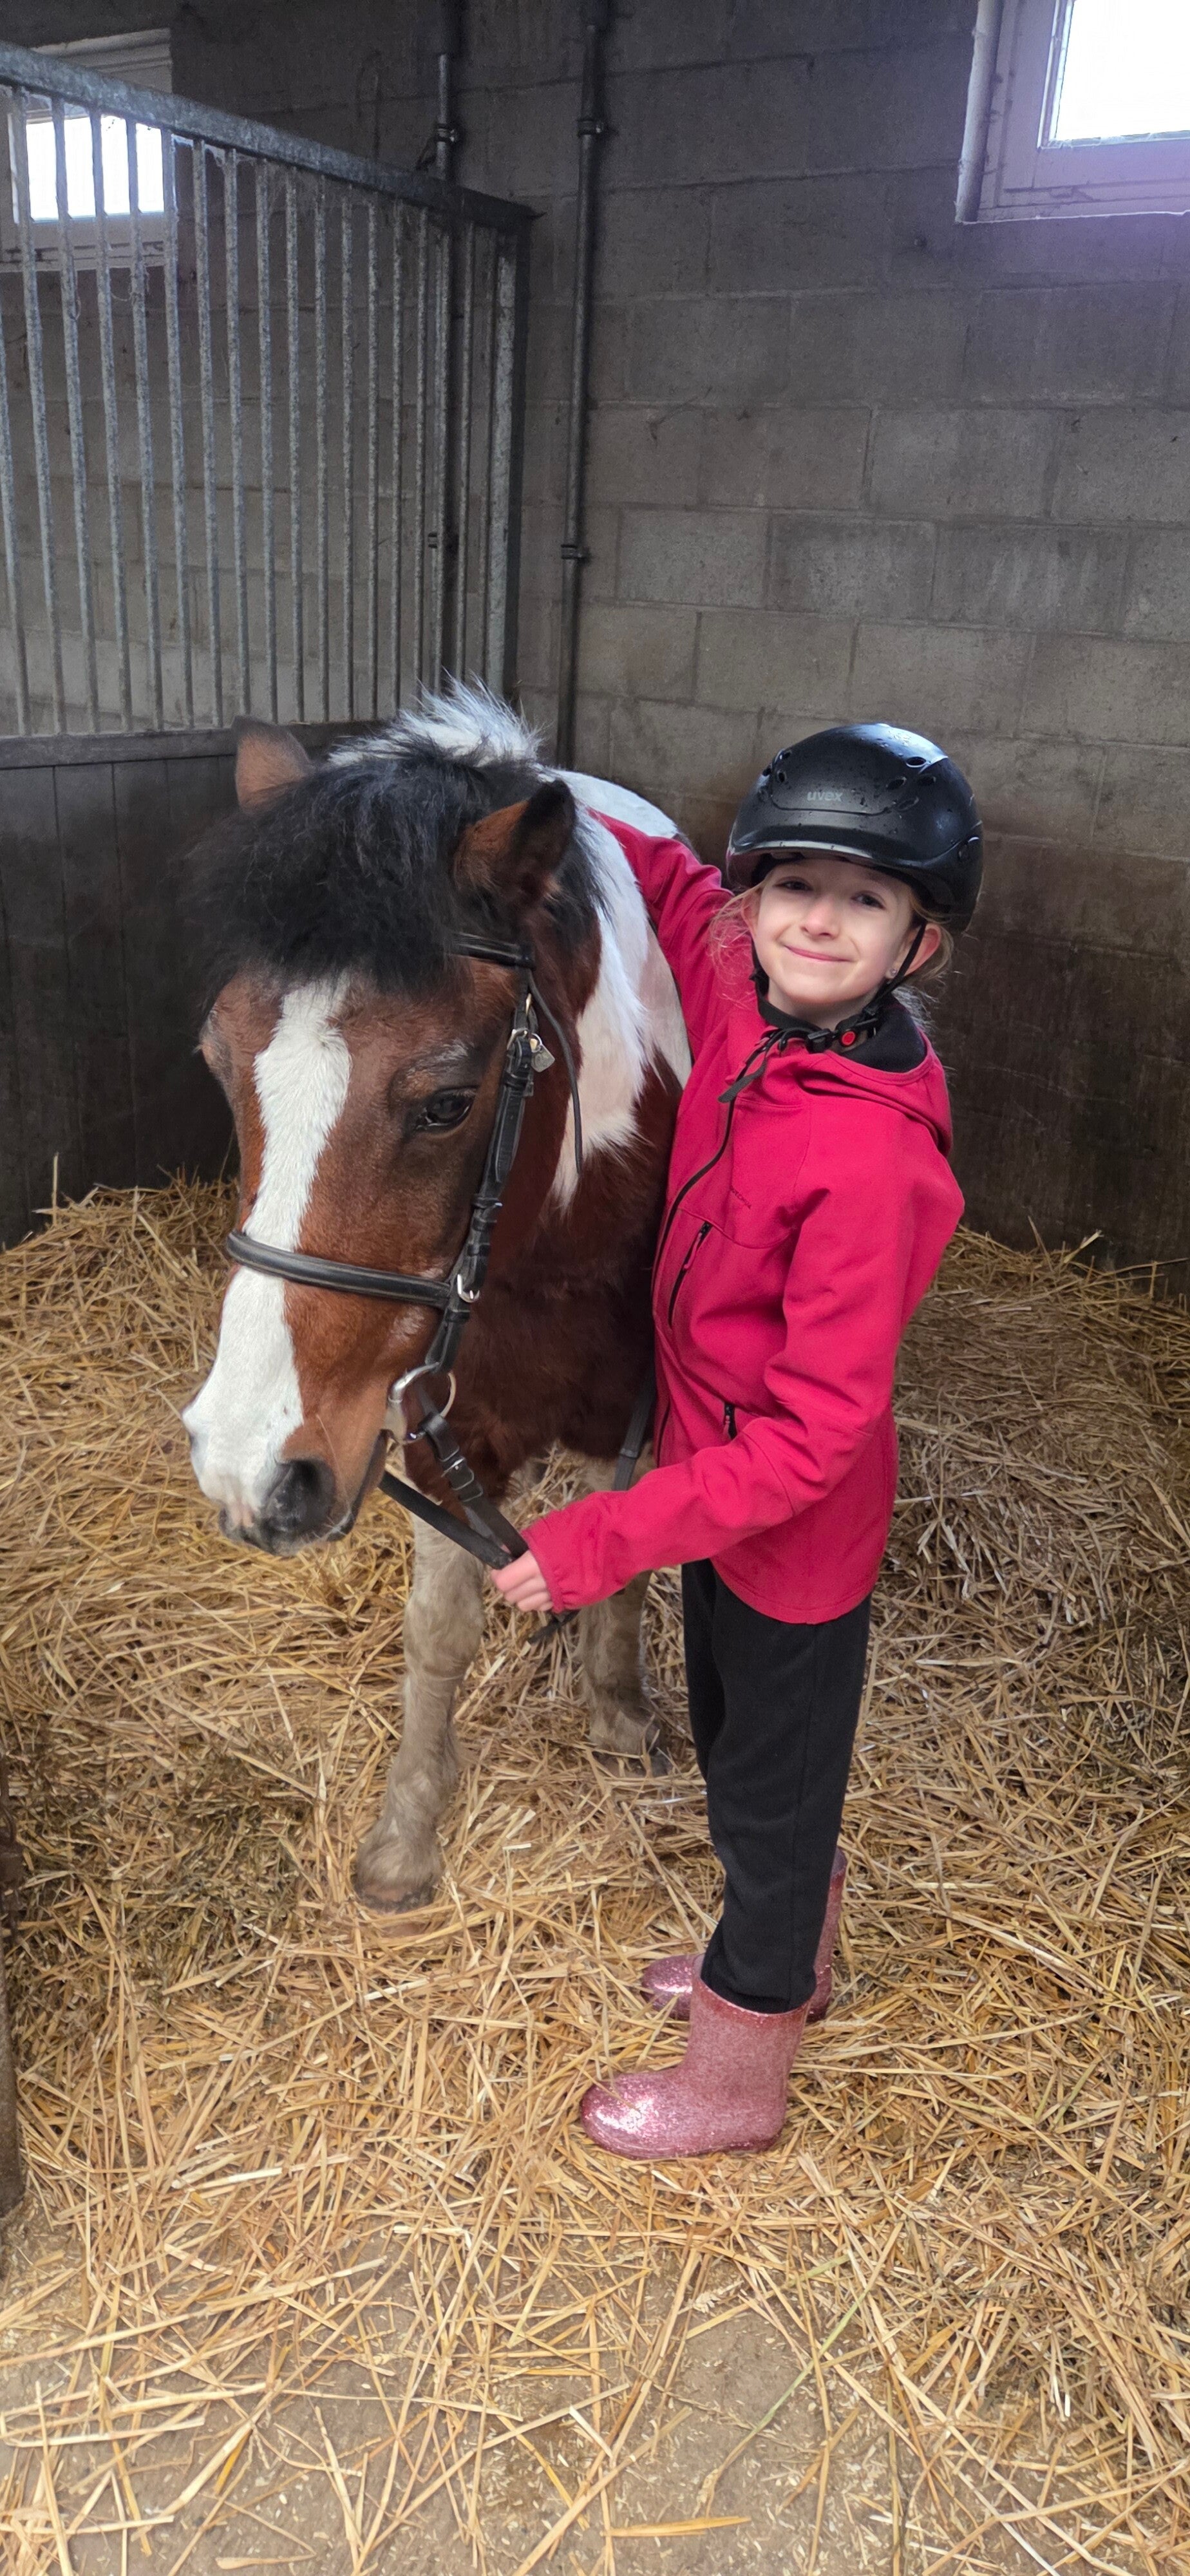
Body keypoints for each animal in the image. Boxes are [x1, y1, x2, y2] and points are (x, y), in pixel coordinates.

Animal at [183, 685, 690, 1912]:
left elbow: (628, 1562)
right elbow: (439, 1630)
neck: (546, 1254)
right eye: (219, 1061)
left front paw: (618, 1714)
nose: (245, 1462)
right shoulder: (431, 1420)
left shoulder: (638, 1402)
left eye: (447, 1103)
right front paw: (407, 1833)